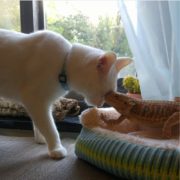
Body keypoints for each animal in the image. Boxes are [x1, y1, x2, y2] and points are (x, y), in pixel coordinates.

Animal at [0, 29, 132, 159]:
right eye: (105, 94)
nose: (100, 105)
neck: (63, 62)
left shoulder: (38, 104)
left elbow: (39, 124)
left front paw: (41, 139)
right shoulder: (35, 100)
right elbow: (50, 128)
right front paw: (55, 148)